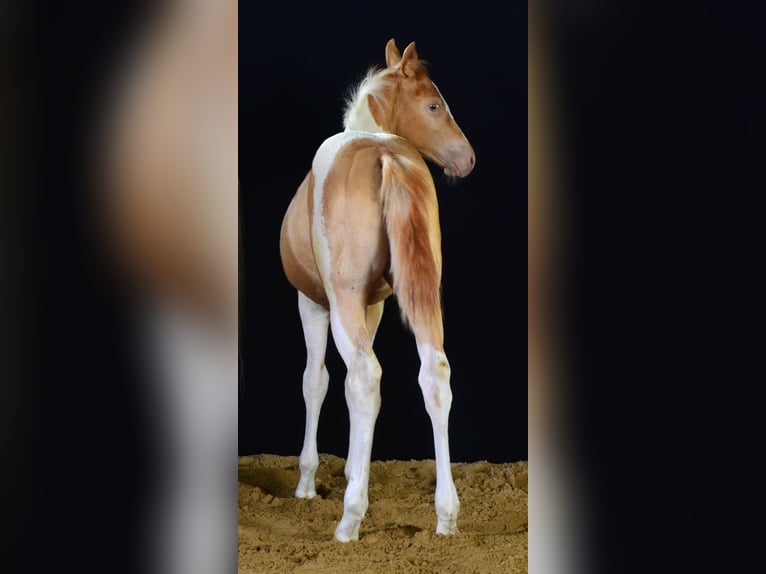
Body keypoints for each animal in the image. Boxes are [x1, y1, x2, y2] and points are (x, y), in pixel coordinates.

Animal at [279, 38, 475, 542]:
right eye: (434, 104)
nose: (468, 158)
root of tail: (385, 153)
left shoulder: (314, 303)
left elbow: (317, 381)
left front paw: (308, 483)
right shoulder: (376, 306)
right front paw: (353, 469)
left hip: (342, 301)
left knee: (366, 377)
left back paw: (349, 521)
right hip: (422, 294)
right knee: (435, 374)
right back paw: (446, 517)